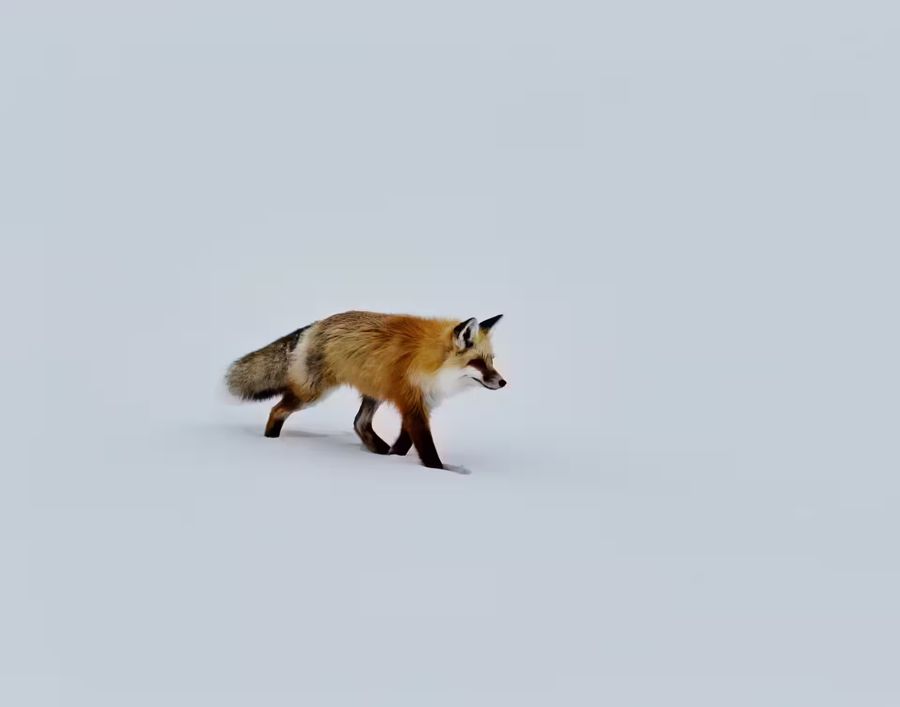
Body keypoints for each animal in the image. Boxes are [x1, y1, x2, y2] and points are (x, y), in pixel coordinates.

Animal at [225, 311, 507, 469]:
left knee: (359, 423)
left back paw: (379, 451)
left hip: (374, 392)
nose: (503, 382)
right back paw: (271, 442)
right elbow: (426, 449)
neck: (431, 364)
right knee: (277, 409)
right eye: (477, 362)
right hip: (312, 394)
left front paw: (393, 458)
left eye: (491, 360)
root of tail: (316, 324)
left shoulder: (418, 404)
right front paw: (438, 471)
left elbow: (404, 443)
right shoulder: (412, 404)